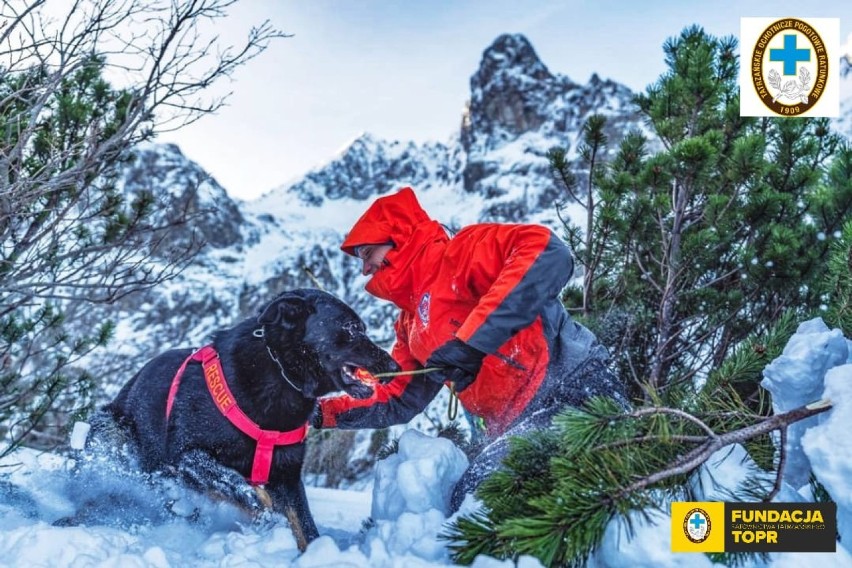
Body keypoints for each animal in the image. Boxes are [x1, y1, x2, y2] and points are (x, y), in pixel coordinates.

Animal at [85, 288, 398, 552]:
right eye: (351, 328)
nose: (394, 366)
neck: (278, 370)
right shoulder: (187, 457)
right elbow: (244, 488)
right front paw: (267, 515)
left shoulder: (287, 476)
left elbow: (305, 527)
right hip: (110, 429)